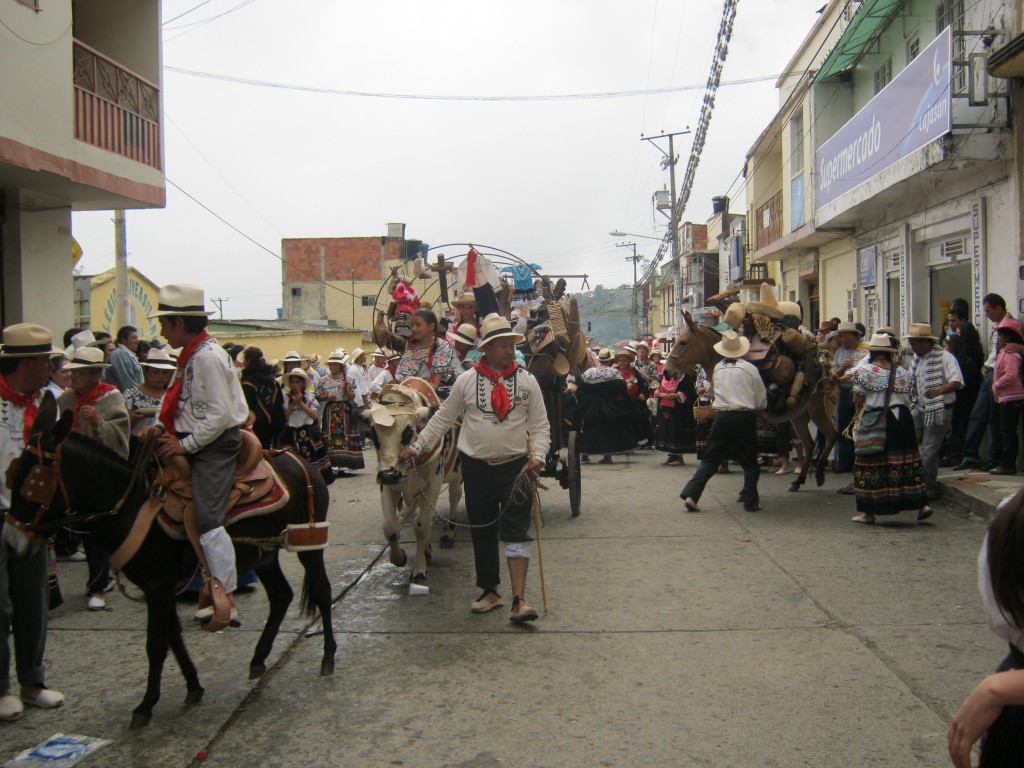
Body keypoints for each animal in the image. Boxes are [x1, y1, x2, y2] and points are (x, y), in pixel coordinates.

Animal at [7, 397, 335, 729]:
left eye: (32, 482)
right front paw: (193, 685)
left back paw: (327, 657)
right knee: (281, 595)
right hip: (264, 555)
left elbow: (155, 643)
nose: (12, 543)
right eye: (14, 474)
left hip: (309, 543)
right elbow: (172, 635)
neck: (129, 505)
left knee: (321, 592)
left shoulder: (158, 585)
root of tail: (301, 462)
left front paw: (145, 705)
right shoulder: (162, 586)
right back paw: (258, 658)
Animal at [663, 313, 839, 489]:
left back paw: (819, 474)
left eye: (683, 342)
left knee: (831, 436)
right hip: (799, 416)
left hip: (818, 412)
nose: (666, 372)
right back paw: (798, 481)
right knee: (810, 445)